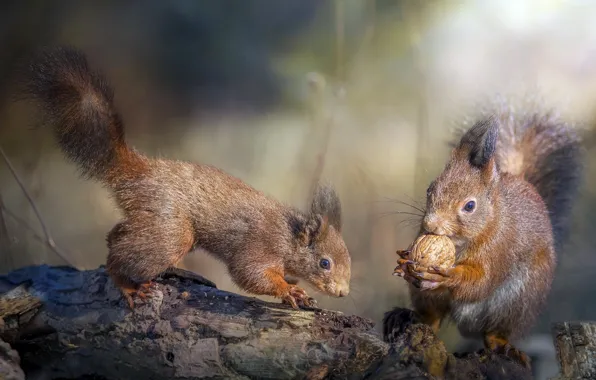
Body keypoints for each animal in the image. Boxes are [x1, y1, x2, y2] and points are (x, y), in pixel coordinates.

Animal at [21, 46, 352, 310]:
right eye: (324, 263)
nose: (343, 292)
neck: (288, 237)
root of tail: (142, 170)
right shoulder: (260, 246)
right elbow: (250, 273)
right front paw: (290, 290)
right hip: (171, 229)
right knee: (119, 257)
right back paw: (127, 285)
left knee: (117, 235)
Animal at [392, 107, 584, 368]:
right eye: (430, 189)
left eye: (470, 206)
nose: (430, 224)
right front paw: (404, 262)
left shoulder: (501, 247)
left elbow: (482, 281)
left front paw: (448, 276)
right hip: (427, 298)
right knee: (432, 317)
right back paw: (407, 318)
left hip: (517, 303)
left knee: (494, 332)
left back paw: (504, 346)